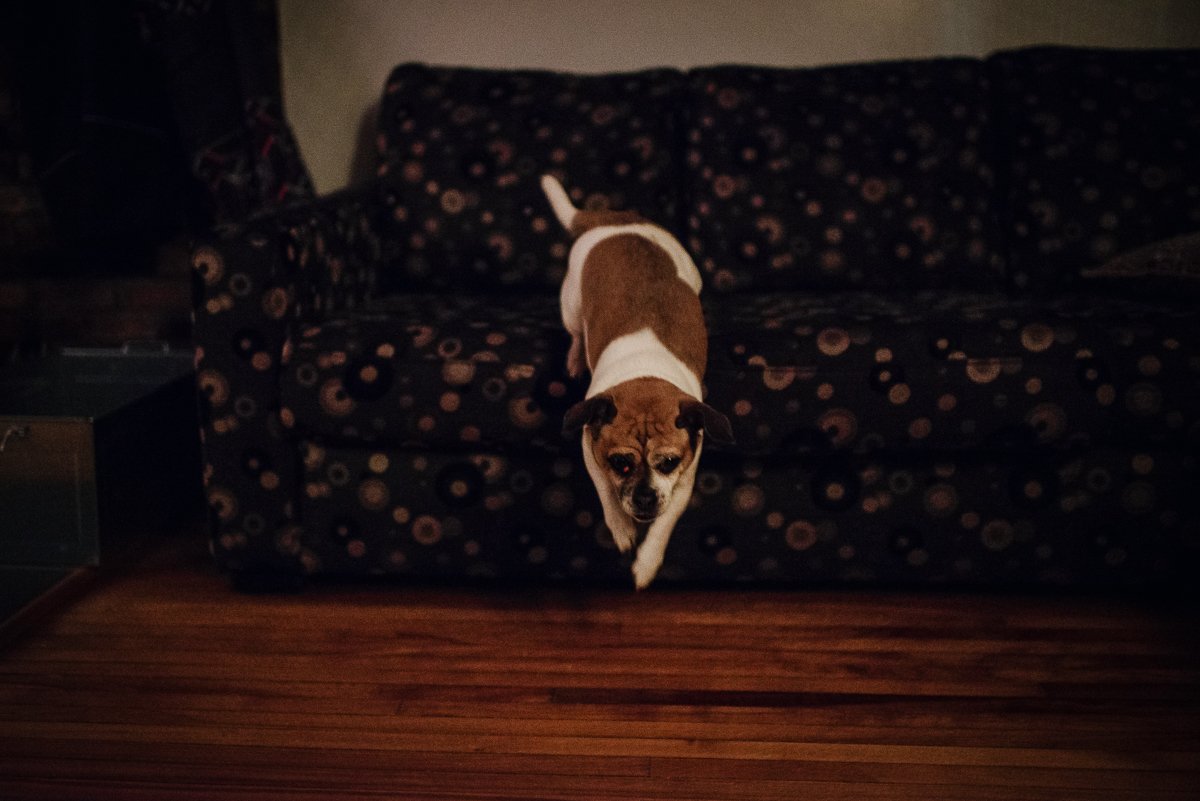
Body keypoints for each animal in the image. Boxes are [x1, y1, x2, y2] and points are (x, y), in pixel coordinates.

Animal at [542, 175, 729, 587]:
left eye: (669, 462)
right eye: (620, 463)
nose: (644, 498)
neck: (645, 378)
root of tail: (610, 221)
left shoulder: (683, 484)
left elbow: (664, 525)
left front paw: (647, 562)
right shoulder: (590, 450)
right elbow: (606, 495)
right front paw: (622, 528)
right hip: (570, 306)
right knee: (576, 331)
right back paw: (575, 357)